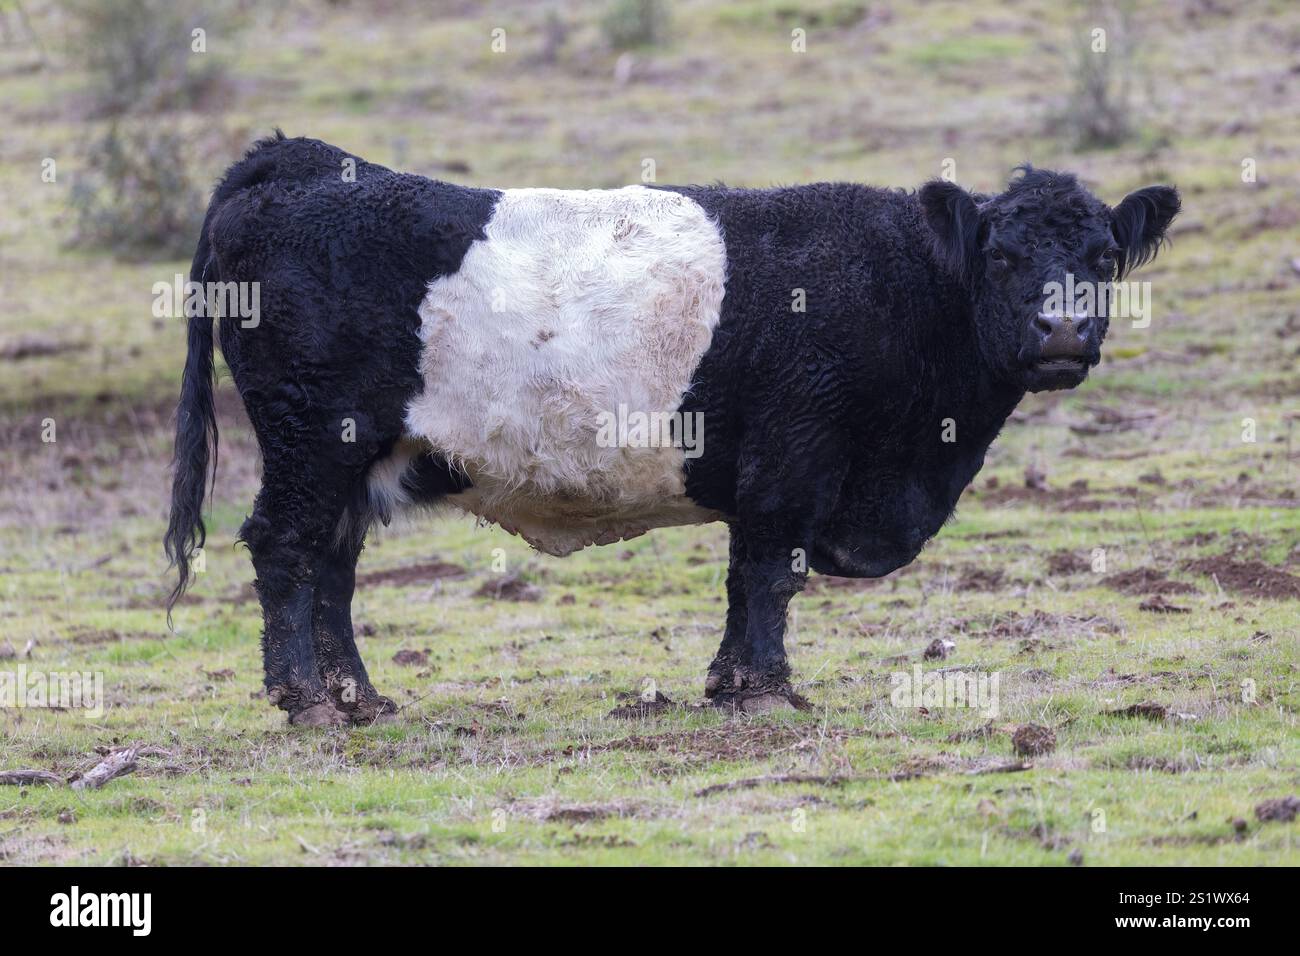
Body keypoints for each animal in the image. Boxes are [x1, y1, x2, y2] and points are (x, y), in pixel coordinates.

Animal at [165, 132, 1180, 724]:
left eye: (1103, 258)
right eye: (1003, 257)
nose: (1061, 333)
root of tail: (295, 159)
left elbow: (747, 582)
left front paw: (732, 685)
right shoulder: (792, 462)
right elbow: (767, 575)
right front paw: (763, 693)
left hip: (356, 454)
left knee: (330, 559)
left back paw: (359, 698)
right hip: (311, 436)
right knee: (283, 546)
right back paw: (306, 702)